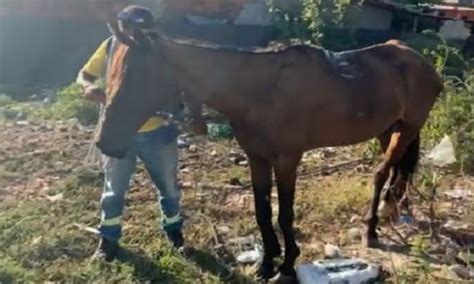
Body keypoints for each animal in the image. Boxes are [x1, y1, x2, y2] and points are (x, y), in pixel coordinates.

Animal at [95, 26, 444, 282]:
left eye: (135, 77)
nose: (104, 143)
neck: (259, 91)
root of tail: (417, 58)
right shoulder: (256, 157)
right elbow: (262, 212)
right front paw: (266, 262)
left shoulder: (287, 159)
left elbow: (284, 214)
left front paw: (287, 264)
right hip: (389, 129)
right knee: (397, 170)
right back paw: (392, 210)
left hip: (408, 126)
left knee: (382, 173)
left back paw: (372, 228)